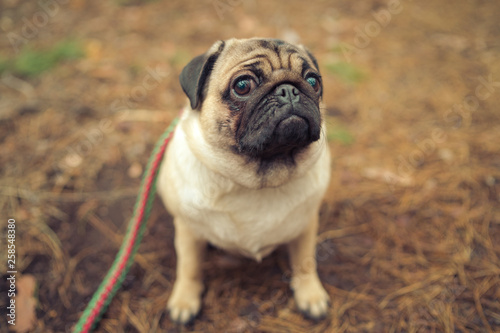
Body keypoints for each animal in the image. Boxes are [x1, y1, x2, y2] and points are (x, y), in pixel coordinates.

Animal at [158, 37, 332, 322]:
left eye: (313, 81)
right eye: (242, 85)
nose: (289, 90)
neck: (259, 180)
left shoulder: (305, 226)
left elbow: (305, 262)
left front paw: (310, 294)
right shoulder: (189, 230)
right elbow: (190, 267)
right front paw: (185, 300)